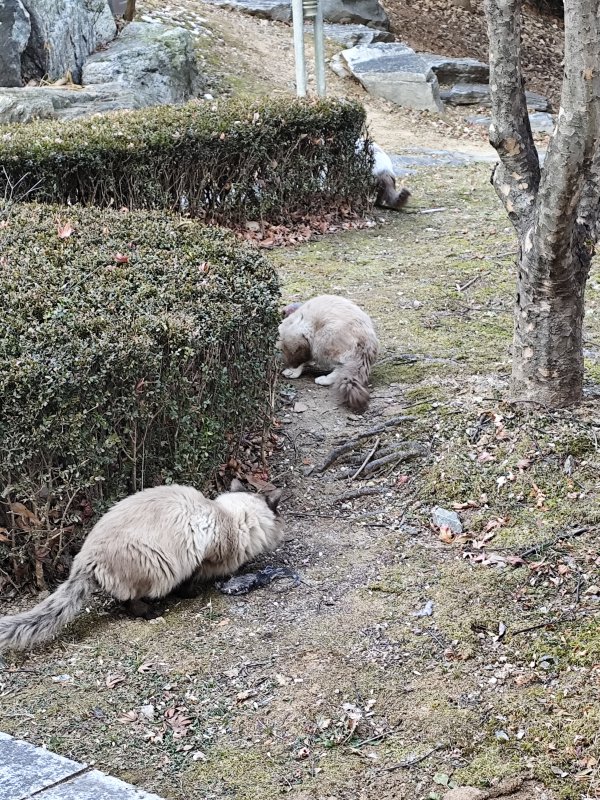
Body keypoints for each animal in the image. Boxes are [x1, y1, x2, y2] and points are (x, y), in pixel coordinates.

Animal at [0, 478, 282, 652]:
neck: (230, 516)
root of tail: (86, 559)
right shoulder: (200, 558)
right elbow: (189, 581)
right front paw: (194, 593)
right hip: (157, 565)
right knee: (129, 601)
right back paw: (151, 612)